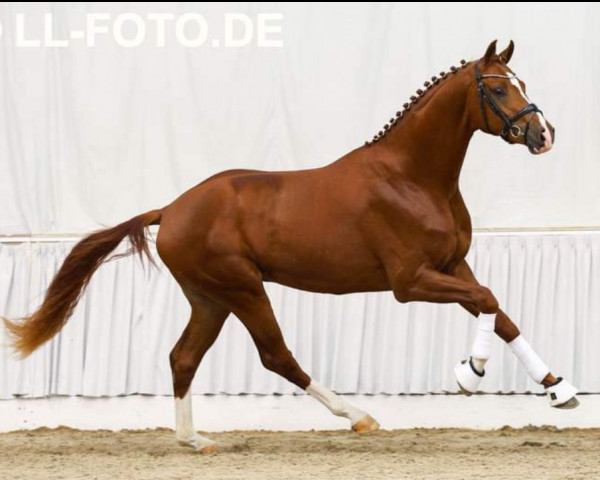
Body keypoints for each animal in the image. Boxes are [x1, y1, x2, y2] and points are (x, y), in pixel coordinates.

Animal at [4, 39, 576, 452]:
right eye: (498, 90)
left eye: (522, 83)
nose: (544, 135)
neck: (411, 176)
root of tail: (172, 209)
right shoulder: (409, 281)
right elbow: (487, 302)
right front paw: (470, 374)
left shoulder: (453, 264)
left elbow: (501, 312)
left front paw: (559, 389)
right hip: (242, 288)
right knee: (275, 354)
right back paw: (358, 417)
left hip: (209, 298)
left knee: (183, 357)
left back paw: (194, 440)